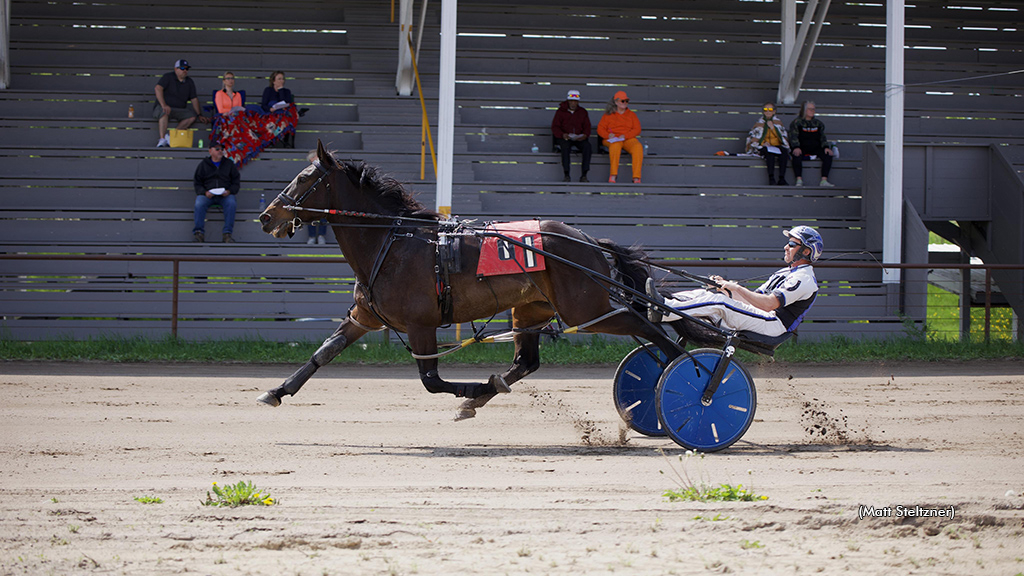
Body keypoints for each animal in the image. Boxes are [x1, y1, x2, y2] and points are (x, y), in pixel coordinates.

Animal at [253, 139, 679, 416]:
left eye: (304, 178)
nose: (266, 216)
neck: (392, 241)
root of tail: (586, 239)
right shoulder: (365, 317)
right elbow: (324, 352)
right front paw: (276, 390)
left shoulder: (420, 324)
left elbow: (431, 380)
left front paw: (473, 387)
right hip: (532, 309)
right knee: (526, 362)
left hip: (584, 309)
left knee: (646, 327)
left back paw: (685, 366)